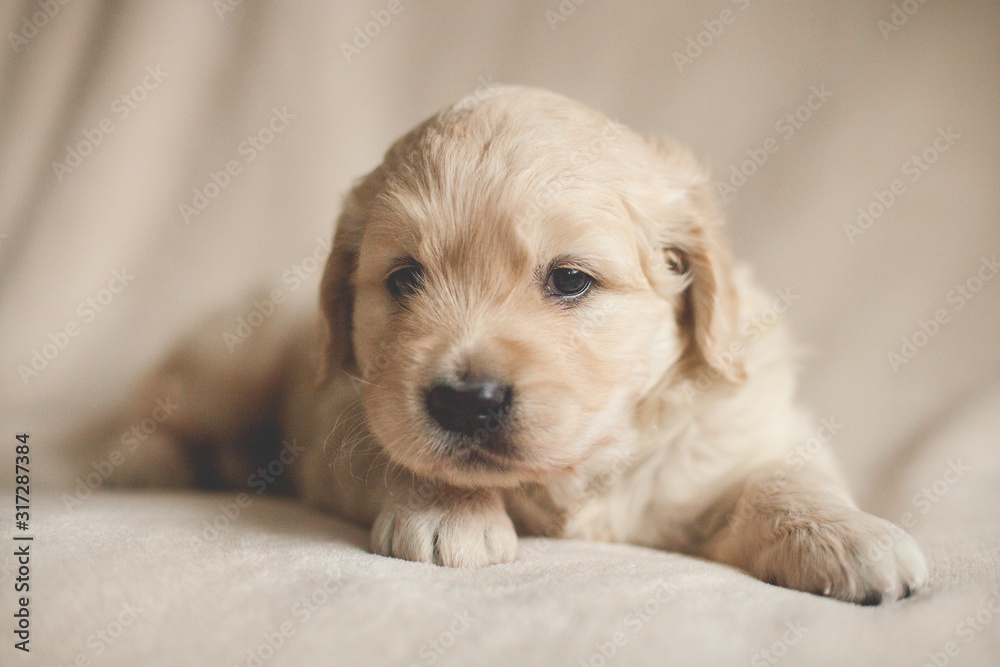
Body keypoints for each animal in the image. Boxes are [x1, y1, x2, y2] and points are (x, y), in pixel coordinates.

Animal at [105, 85, 924, 604]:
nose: (466, 400)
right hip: (232, 363)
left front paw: (850, 536)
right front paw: (451, 511)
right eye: (404, 278)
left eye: (569, 280)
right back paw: (139, 461)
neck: (579, 471)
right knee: (164, 404)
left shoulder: (742, 427)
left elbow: (787, 474)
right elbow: (395, 449)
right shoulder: (342, 411)